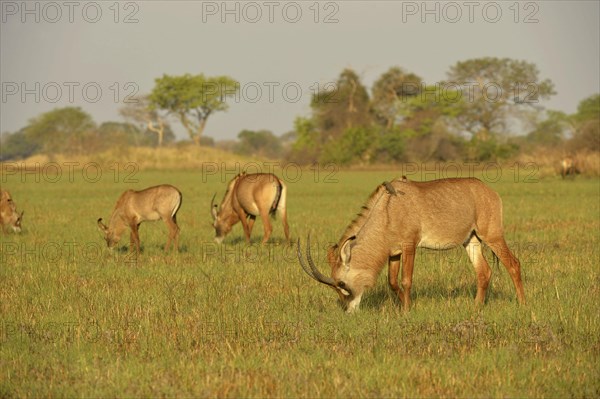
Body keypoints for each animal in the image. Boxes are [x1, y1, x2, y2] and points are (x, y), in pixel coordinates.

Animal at [298, 178, 524, 312]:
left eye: (342, 284)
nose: (349, 310)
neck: (388, 208)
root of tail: (489, 191)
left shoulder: (409, 245)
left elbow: (406, 280)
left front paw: (406, 311)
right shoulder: (394, 253)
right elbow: (392, 282)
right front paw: (405, 306)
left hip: (492, 235)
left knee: (513, 263)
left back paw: (522, 303)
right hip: (471, 240)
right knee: (483, 271)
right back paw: (476, 307)